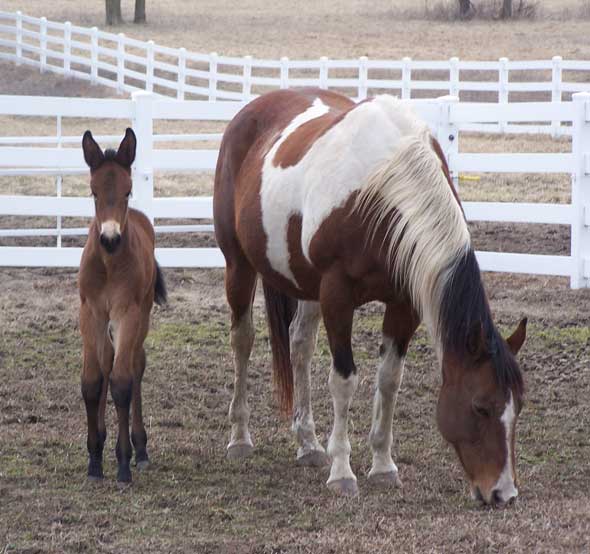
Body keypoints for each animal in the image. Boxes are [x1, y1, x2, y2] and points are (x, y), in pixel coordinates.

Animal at [215, 87, 528, 504]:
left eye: (518, 407)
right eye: (481, 407)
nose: (503, 493)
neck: (382, 187)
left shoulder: (403, 304)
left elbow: (389, 379)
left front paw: (382, 466)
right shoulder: (337, 295)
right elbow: (344, 380)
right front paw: (342, 472)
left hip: (306, 285)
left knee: (300, 346)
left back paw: (308, 443)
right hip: (239, 265)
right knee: (242, 341)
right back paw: (239, 438)